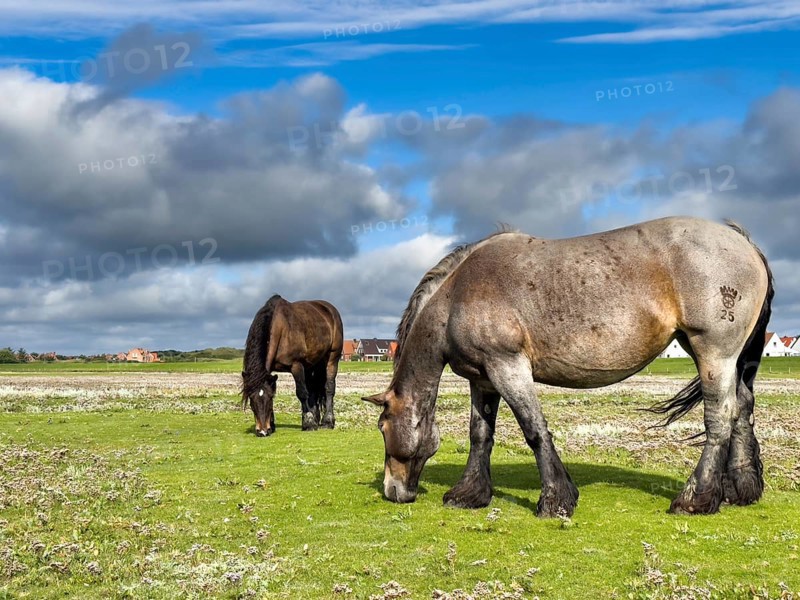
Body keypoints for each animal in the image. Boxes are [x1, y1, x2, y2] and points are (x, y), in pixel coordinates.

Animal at [242, 295, 343, 436]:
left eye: (269, 398)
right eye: (251, 400)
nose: (262, 431)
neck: (279, 328)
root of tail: (330, 309)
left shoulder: (296, 365)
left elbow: (301, 393)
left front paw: (309, 423)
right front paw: (272, 425)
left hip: (332, 358)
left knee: (329, 388)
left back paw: (327, 421)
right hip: (311, 364)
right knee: (312, 389)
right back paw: (315, 417)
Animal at [363, 216, 773, 517]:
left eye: (383, 428)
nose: (392, 490)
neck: (459, 292)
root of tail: (741, 240)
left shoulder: (508, 367)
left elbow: (534, 431)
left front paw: (555, 499)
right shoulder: (483, 380)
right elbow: (480, 435)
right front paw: (469, 494)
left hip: (714, 354)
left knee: (719, 418)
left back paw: (695, 499)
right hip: (726, 359)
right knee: (742, 410)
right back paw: (741, 490)